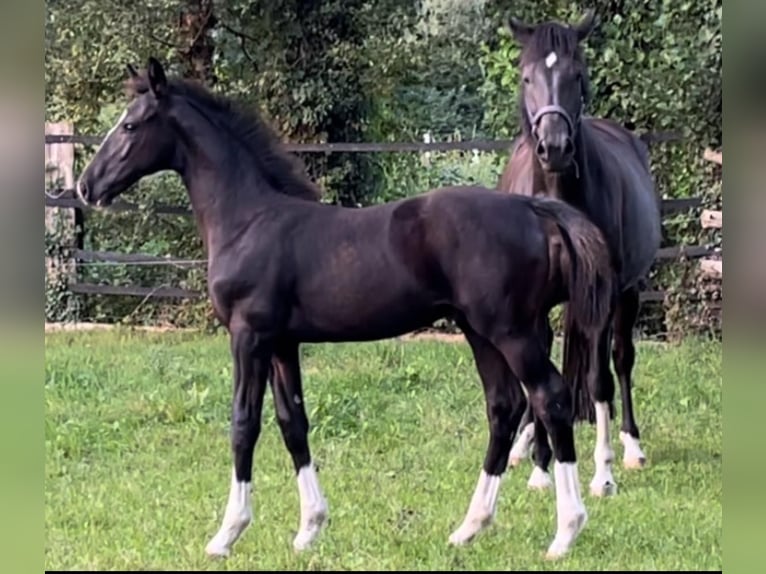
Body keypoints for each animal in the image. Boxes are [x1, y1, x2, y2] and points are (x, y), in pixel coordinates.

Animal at [76, 58, 616, 564]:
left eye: (130, 125)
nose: (86, 187)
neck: (248, 220)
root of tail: (534, 209)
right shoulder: (282, 343)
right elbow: (292, 422)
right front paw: (309, 529)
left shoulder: (248, 336)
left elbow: (243, 424)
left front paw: (227, 534)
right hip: (480, 332)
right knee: (504, 407)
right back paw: (469, 527)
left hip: (511, 331)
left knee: (549, 397)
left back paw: (565, 532)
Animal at [500, 9, 664, 498]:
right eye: (526, 76)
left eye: (578, 75)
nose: (554, 148)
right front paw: (540, 465)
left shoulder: (603, 297)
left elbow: (599, 379)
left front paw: (603, 473)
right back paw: (522, 445)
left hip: (627, 294)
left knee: (621, 359)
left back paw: (631, 447)